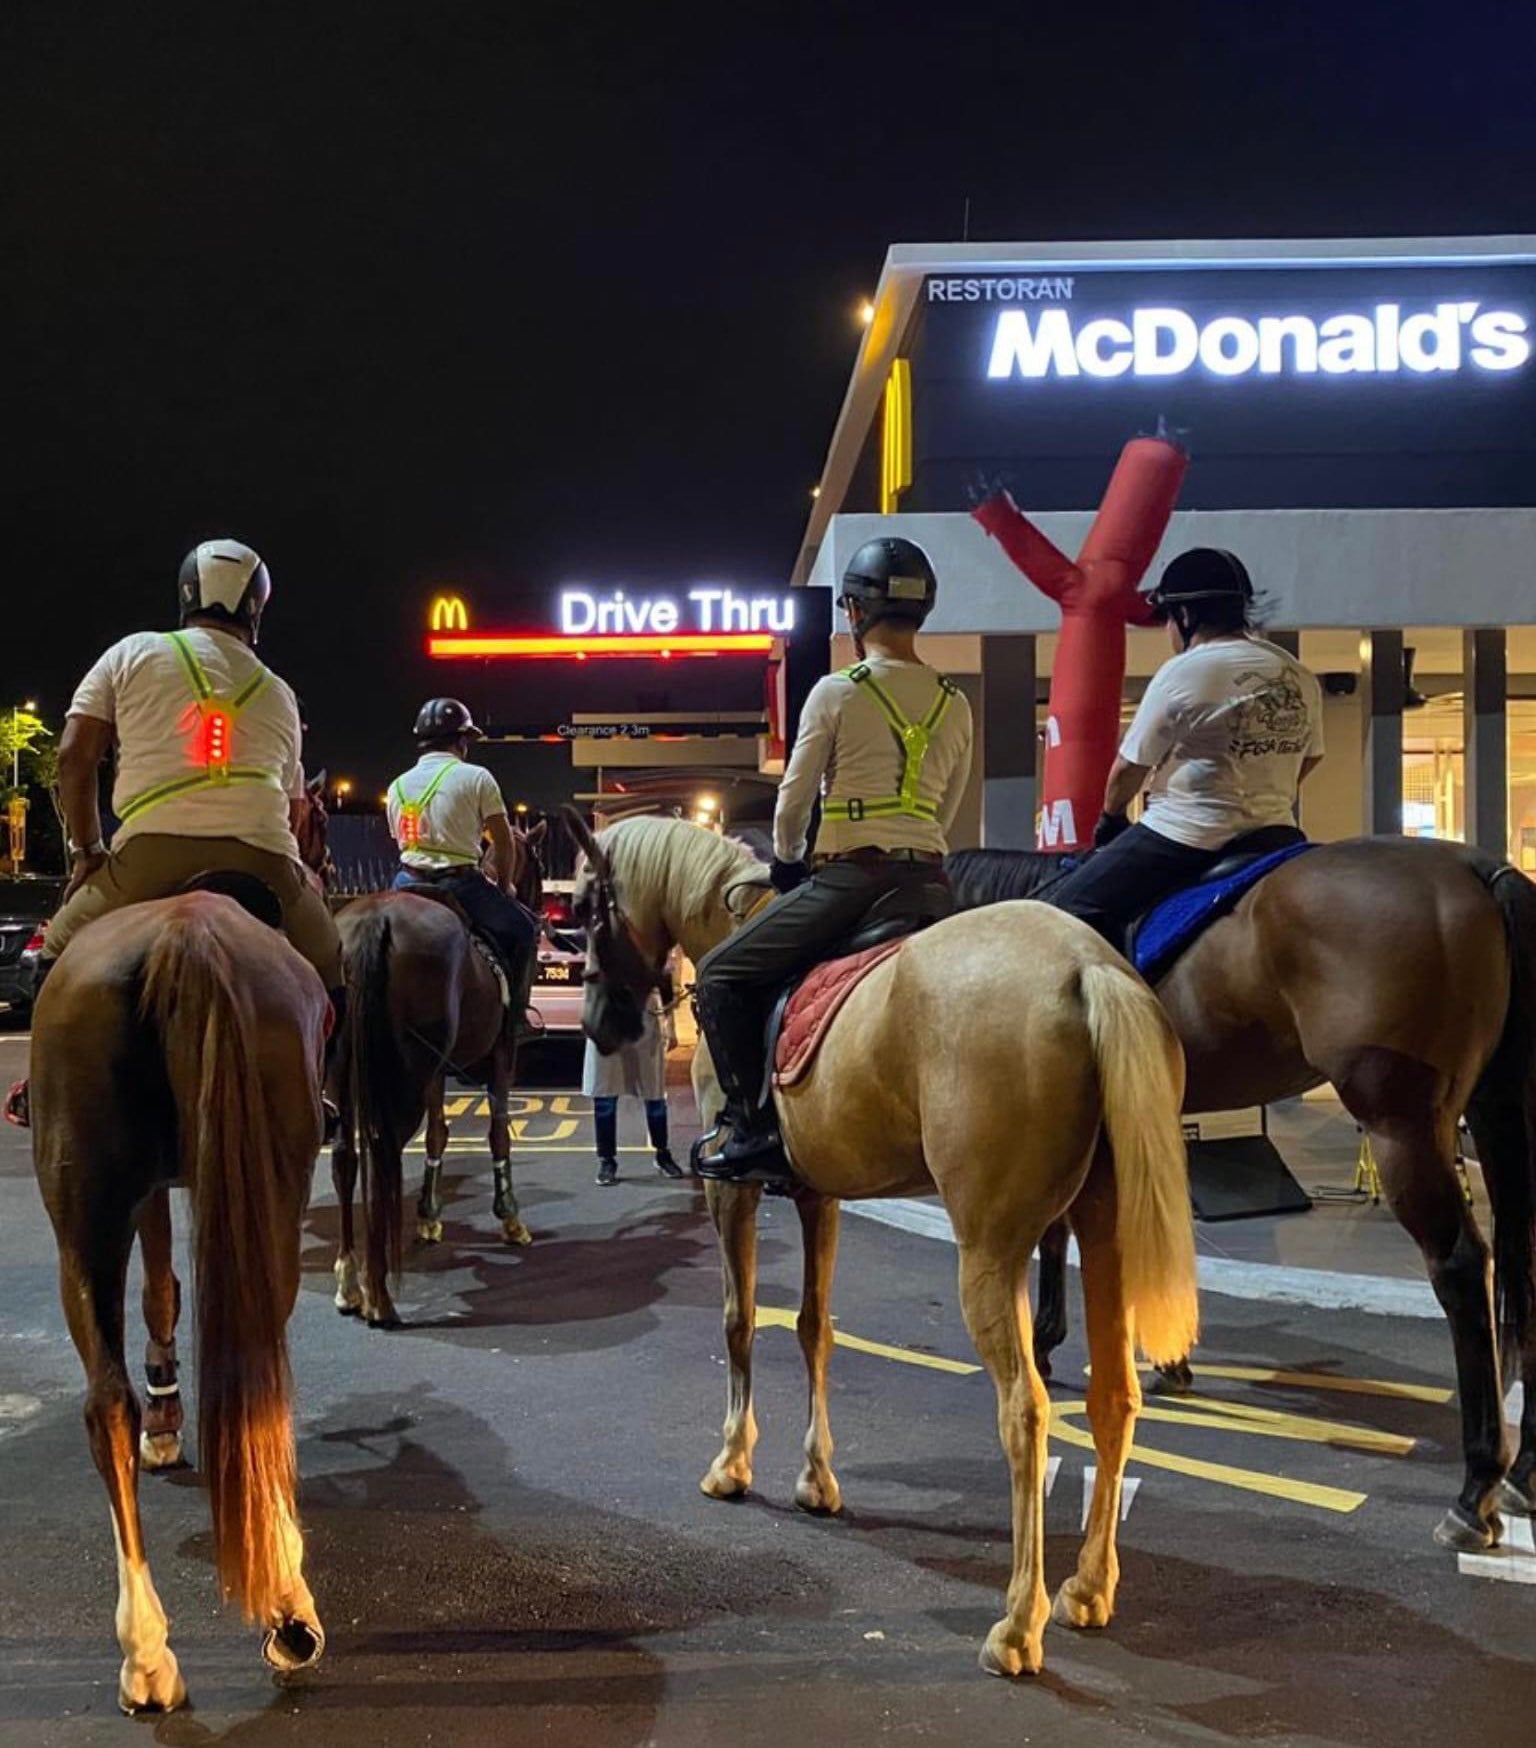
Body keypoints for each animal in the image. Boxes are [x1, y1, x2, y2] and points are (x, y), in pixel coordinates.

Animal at [31, 894, 330, 1713]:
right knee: (254, 1383)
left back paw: (147, 1651)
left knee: (107, 1401)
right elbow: (164, 1287)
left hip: (87, 1214)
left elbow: (159, 1284)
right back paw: (282, 1607)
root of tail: (183, 932)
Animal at [566, 814, 1202, 1678]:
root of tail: (1087, 969)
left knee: (1026, 1412)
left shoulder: (730, 1189)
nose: (600, 1025)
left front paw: (733, 1462)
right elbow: (814, 1329)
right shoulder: (818, 1195)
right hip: (1104, 1237)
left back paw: (1018, 1622)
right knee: (1113, 1398)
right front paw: (815, 1478)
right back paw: (1087, 1588)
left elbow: (740, 1322)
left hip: (991, 1255)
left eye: (587, 906)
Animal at [950, 839, 1536, 1552]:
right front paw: (1171, 1357)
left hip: (1403, 1125)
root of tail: (1478, 870)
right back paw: (1523, 1473)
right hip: (1496, 1107)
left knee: (1460, 1268)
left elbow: (1060, 1228)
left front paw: (1048, 1336)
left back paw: (1476, 1489)